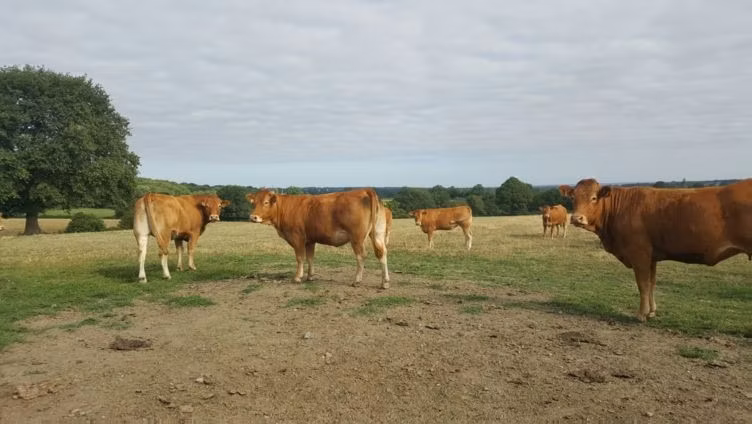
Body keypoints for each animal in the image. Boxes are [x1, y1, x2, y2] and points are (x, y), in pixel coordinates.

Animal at [246, 188, 390, 289]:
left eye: (266, 202)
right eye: (253, 203)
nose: (253, 217)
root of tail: (365, 190)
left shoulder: (297, 238)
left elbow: (300, 258)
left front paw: (297, 277)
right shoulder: (310, 241)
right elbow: (310, 258)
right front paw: (310, 276)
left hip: (357, 238)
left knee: (361, 256)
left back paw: (357, 280)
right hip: (377, 233)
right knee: (382, 253)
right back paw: (385, 282)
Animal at [559, 178, 752, 322]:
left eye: (593, 198)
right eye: (573, 198)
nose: (576, 218)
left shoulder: (640, 254)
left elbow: (642, 284)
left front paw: (641, 314)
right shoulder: (652, 257)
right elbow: (651, 283)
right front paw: (652, 311)